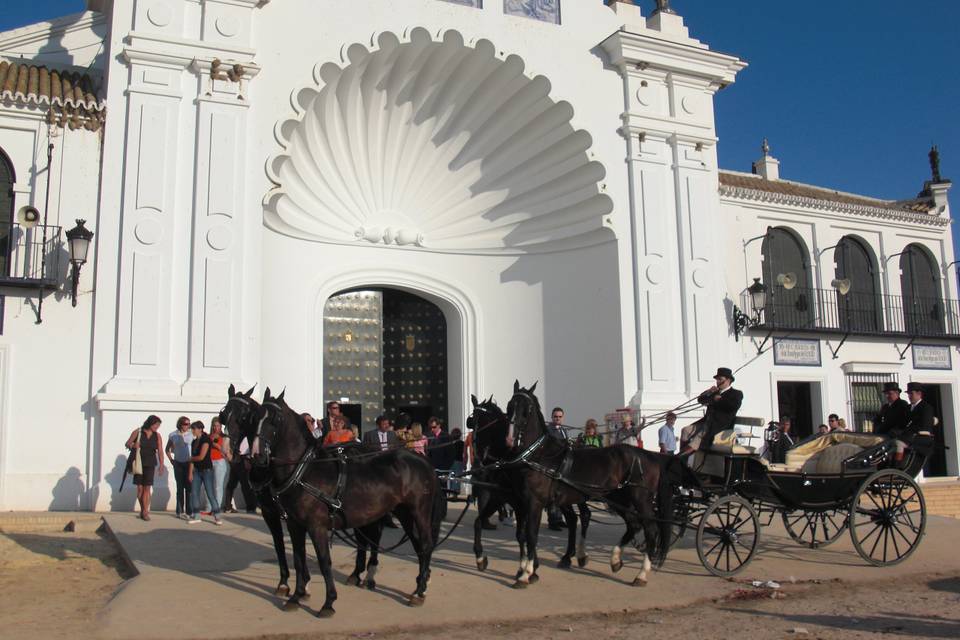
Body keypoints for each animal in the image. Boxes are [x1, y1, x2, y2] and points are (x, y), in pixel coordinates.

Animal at [246, 384, 444, 616]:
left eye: (275, 419)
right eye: (255, 417)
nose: (257, 457)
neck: (304, 470)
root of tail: (422, 460)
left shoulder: (316, 525)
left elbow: (324, 561)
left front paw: (328, 602)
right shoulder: (295, 524)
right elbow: (298, 558)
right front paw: (296, 597)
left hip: (419, 511)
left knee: (426, 544)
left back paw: (420, 591)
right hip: (404, 513)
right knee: (418, 545)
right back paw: (419, 586)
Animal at [466, 396, 588, 576]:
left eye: (474, 419)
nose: (479, 461)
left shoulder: (520, 502)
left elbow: (526, 534)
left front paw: (530, 565)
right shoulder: (503, 498)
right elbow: (480, 522)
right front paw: (481, 558)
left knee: (583, 516)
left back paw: (578, 555)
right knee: (573, 519)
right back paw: (568, 556)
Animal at [502, 382, 676, 588]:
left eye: (527, 409)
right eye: (509, 405)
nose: (510, 439)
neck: (538, 455)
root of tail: (648, 455)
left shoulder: (534, 503)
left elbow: (530, 535)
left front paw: (526, 574)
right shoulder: (521, 503)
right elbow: (522, 534)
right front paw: (523, 569)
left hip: (640, 500)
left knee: (650, 528)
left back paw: (641, 574)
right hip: (617, 499)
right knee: (633, 524)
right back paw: (615, 560)